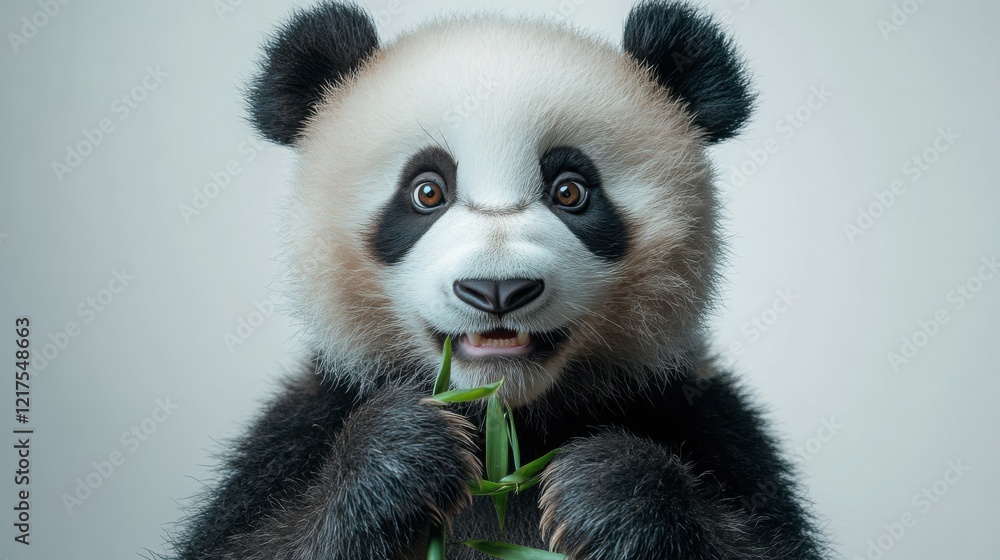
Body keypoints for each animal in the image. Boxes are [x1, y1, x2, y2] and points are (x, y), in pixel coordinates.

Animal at [173, 1, 827, 559]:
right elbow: (246, 541)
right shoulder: (301, 429)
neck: (507, 429)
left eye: (571, 191)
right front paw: (404, 453)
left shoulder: (703, 420)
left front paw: (605, 491)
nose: (497, 290)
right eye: (426, 191)